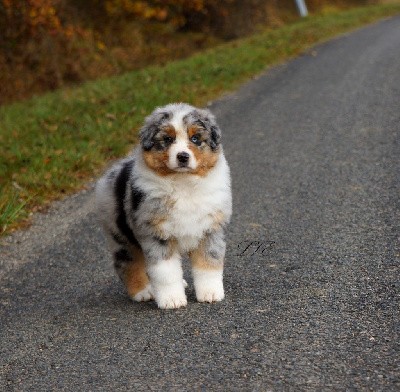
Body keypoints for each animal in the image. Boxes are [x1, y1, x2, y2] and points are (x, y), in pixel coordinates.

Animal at [95, 103, 231, 310]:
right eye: (167, 139)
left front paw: (210, 293)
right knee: (127, 263)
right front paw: (172, 300)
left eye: (195, 138)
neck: (183, 184)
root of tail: (115, 170)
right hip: (120, 234)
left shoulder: (211, 229)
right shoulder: (157, 234)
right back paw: (142, 291)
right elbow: (166, 272)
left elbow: (208, 264)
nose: (182, 156)